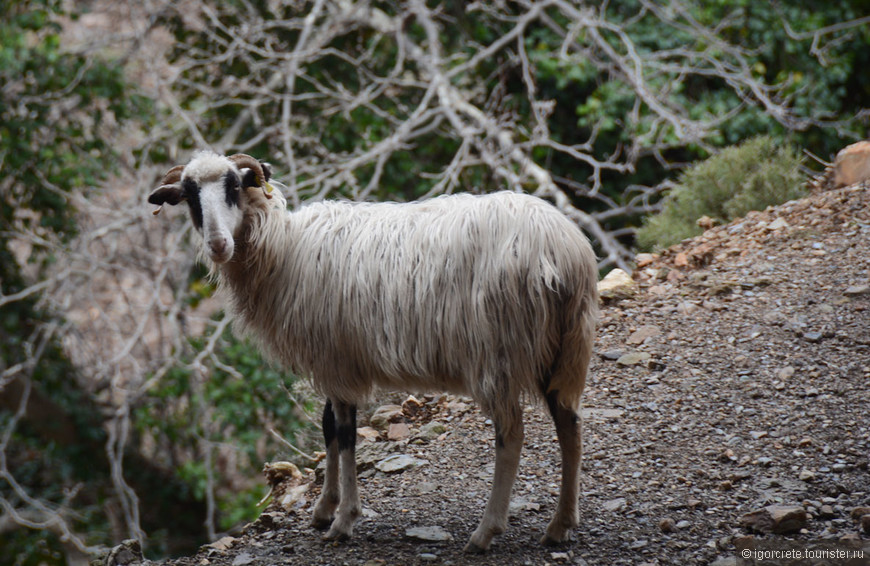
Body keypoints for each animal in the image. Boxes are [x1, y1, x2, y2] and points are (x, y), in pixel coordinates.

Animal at [150, 151, 600, 556]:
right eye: (190, 196)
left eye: (233, 186)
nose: (218, 244)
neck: (283, 250)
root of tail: (563, 252)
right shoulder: (334, 360)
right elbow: (329, 429)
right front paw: (324, 509)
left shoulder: (337, 362)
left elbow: (346, 435)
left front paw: (344, 520)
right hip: (565, 350)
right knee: (571, 425)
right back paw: (560, 526)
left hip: (500, 351)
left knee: (512, 435)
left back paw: (486, 532)